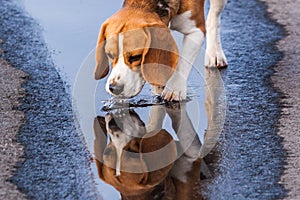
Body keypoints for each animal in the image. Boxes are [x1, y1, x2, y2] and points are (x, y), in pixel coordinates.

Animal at [95, 0, 226, 101]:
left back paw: (215, 53)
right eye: (109, 55)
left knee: (214, 16)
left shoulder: (196, 30)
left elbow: (183, 63)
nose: (114, 88)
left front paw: (174, 88)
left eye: (136, 57)